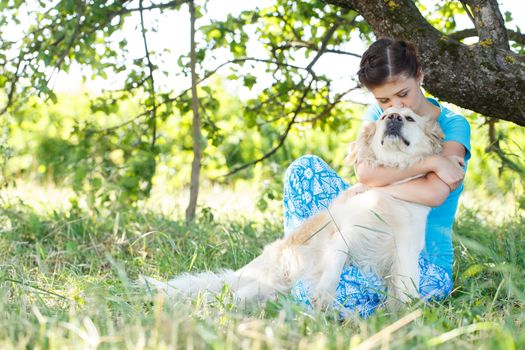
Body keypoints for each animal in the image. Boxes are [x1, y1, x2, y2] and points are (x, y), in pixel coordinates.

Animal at [139, 107, 442, 308]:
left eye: (410, 117)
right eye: (383, 117)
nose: (393, 118)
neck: (392, 190)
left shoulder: (405, 250)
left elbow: (407, 285)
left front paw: (408, 313)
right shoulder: (345, 233)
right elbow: (335, 263)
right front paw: (324, 294)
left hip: (270, 288)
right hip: (267, 280)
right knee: (230, 297)